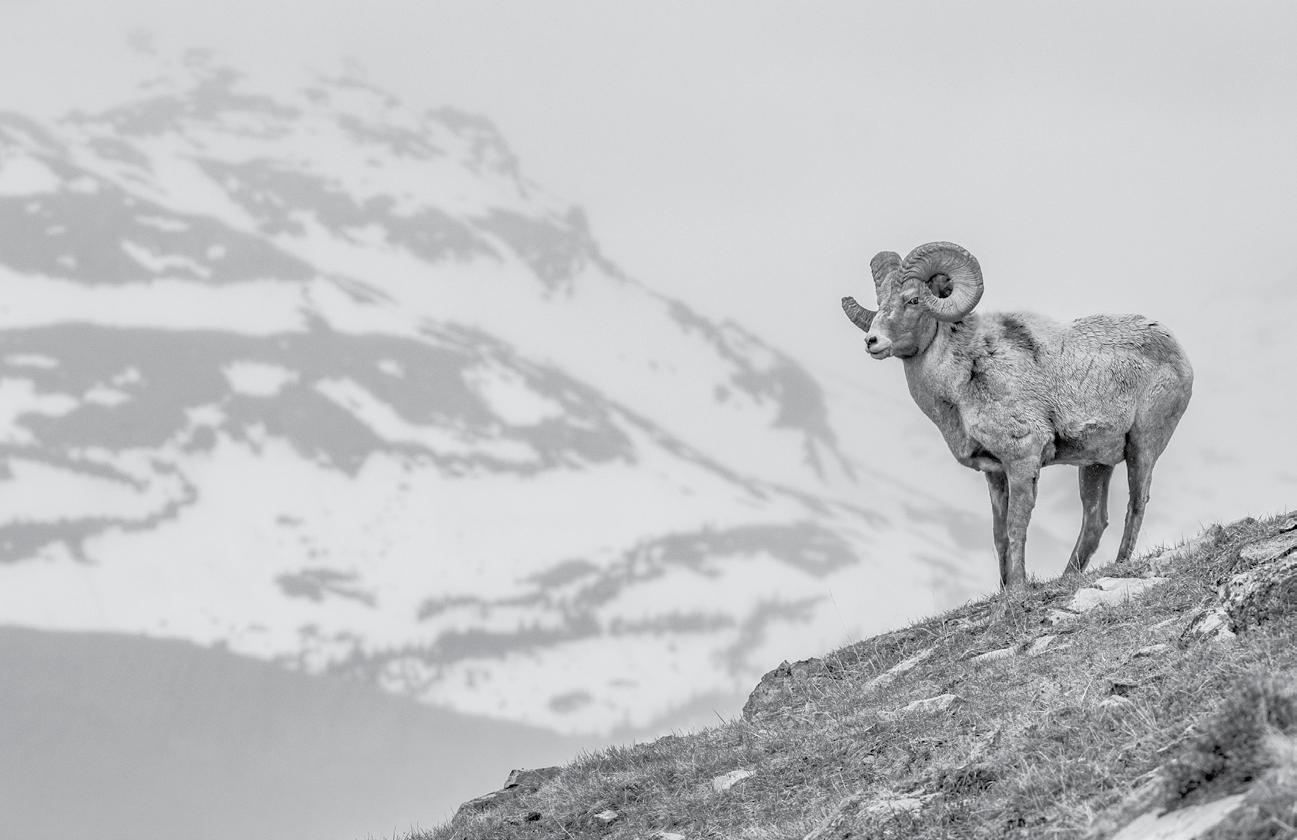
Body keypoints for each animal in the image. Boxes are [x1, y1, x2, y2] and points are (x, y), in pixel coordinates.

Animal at [841, 241, 1193, 588]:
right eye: (880, 302)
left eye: (913, 299)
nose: (872, 341)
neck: (962, 384)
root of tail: (1177, 352)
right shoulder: (995, 473)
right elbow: (999, 535)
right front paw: (1004, 590)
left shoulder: (1023, 460)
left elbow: (1017, 525)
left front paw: (1020, 587)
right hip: (1095, 464)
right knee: (1095, 520)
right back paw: (1066, 578)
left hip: (1142, 447)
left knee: (1137, 503)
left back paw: (1120, 563)